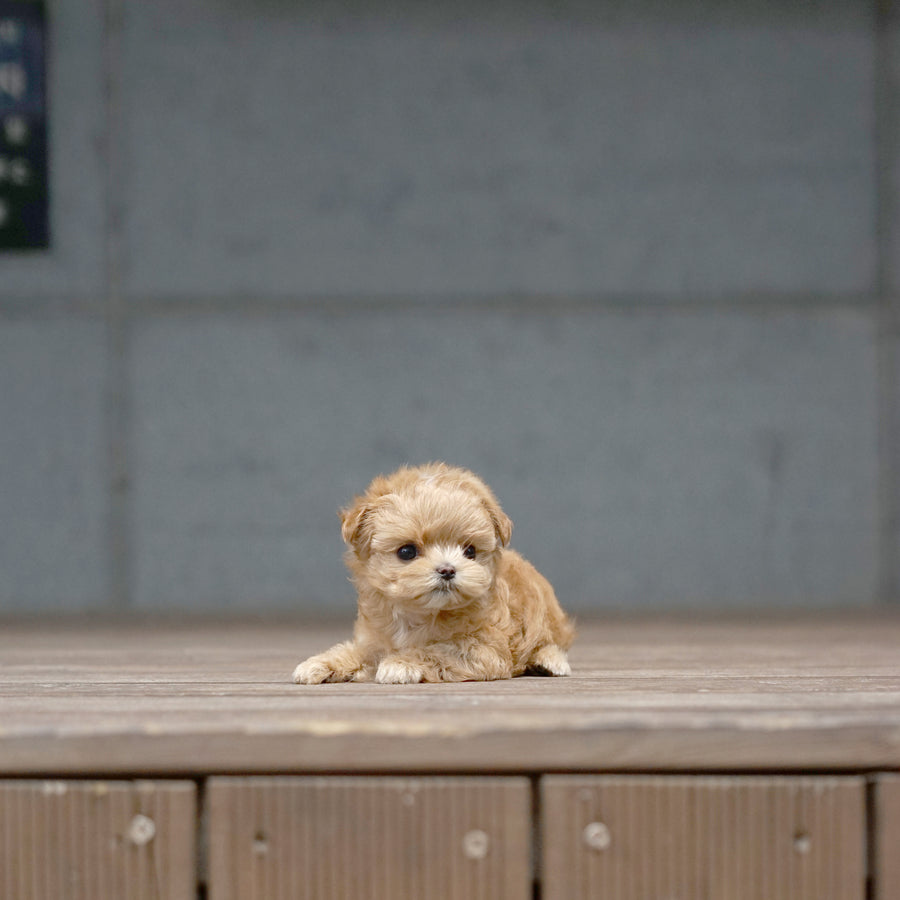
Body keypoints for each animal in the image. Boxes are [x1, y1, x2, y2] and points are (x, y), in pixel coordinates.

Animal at [296, 464, 576, 684]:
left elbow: (438, 651)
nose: (447, 569)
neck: (420, 614)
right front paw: (321, 663)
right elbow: (357, 652)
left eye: (470, 551)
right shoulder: (375, 642)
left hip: (548, 620)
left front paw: (401, 663)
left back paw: (550, 661)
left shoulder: (485, 649)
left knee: (551, 642)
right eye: (407, 551)